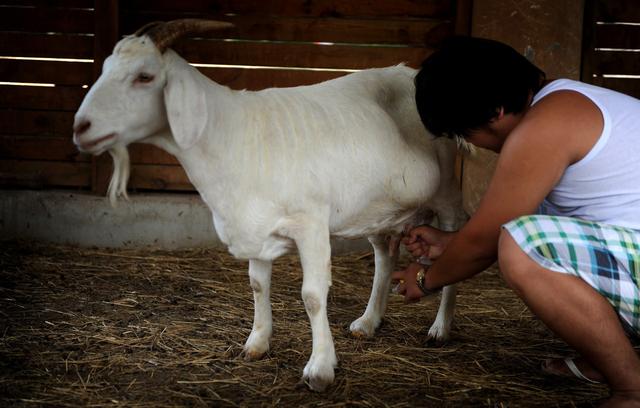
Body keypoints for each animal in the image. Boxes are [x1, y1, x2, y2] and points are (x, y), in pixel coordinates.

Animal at [74, 20, 464, 390]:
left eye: (145, 76)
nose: (81, 127)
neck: (233, 135)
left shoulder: (311, 224)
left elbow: (312, 296)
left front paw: (320, 368)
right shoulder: (253, 226)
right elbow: (258, 285)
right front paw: (257, 343)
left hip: (446, 192)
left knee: (453, 241)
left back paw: (440, 329)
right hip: (378, 209)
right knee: (384, 259)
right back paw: (368, 322)